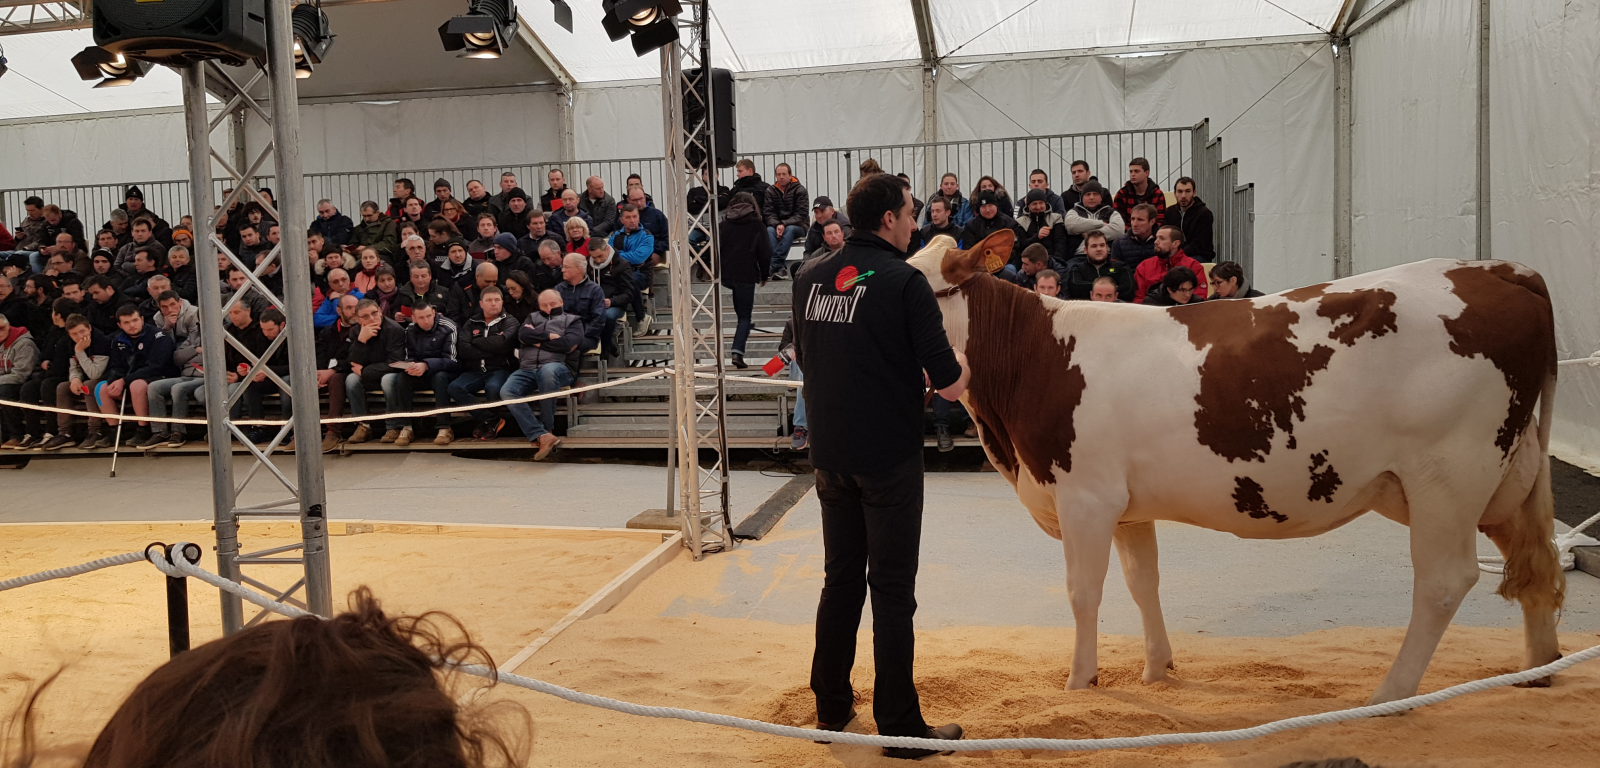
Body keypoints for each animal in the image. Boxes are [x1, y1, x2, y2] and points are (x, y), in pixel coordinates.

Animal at [915, 230, 1561, 704]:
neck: (1038, 357)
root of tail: (1499, 269)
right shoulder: (1126, 508)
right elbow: (1143, 583)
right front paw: (1158, 670)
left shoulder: (1086, 498)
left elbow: (1084, 592)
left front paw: (1079, 684)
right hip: (1504, 478)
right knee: (1532, 563)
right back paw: (1537, 671)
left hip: (1446, 478)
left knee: (1444, 582)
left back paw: (1390, 694)